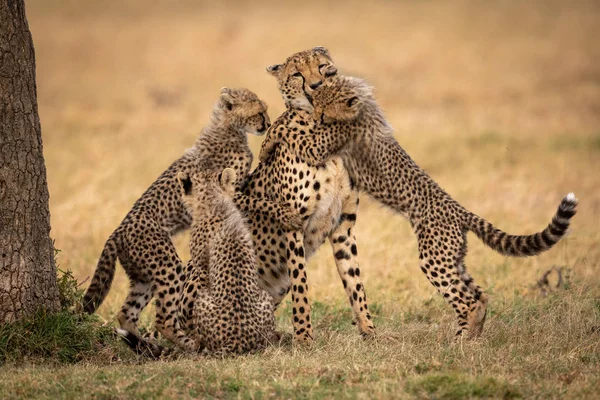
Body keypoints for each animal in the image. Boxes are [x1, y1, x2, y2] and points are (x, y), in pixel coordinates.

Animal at [82, 87, 302, 350]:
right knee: (163, 318)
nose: (267, 124)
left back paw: (148, 348)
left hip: (143, 276)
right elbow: (259, 201)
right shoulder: (226, 190)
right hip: (167, 266)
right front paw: (287, 214)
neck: (228, 129)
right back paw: (188, 344)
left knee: (127, 313)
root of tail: (117, 232)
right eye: (259, 112)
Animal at [260, 74, 580, 338]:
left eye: (324, 110)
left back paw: (462, 340)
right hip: (454, 258)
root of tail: (460, 210)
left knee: (467, 301)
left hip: (434, 259)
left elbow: (292, 134)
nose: (316, 114)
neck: (362, 108)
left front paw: (268, 140)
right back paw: (470, 335)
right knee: (480, 295)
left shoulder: (326, 143)